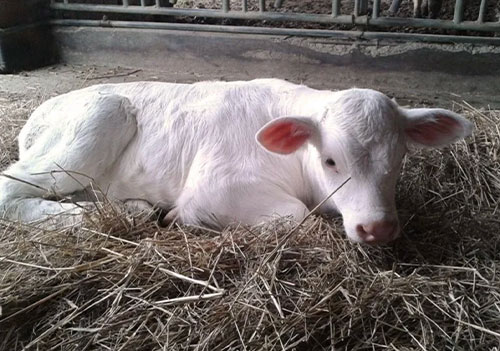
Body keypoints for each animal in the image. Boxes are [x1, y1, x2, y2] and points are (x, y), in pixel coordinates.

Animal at [0, 80, 472, 245]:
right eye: (331, 161)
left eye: (400, 158)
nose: (376, 228)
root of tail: (39, 113)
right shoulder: (215, 187)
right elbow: (296, 214)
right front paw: (180, 218)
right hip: (90, 129)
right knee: (10, 188)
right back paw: (89, 217)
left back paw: (129, 208)